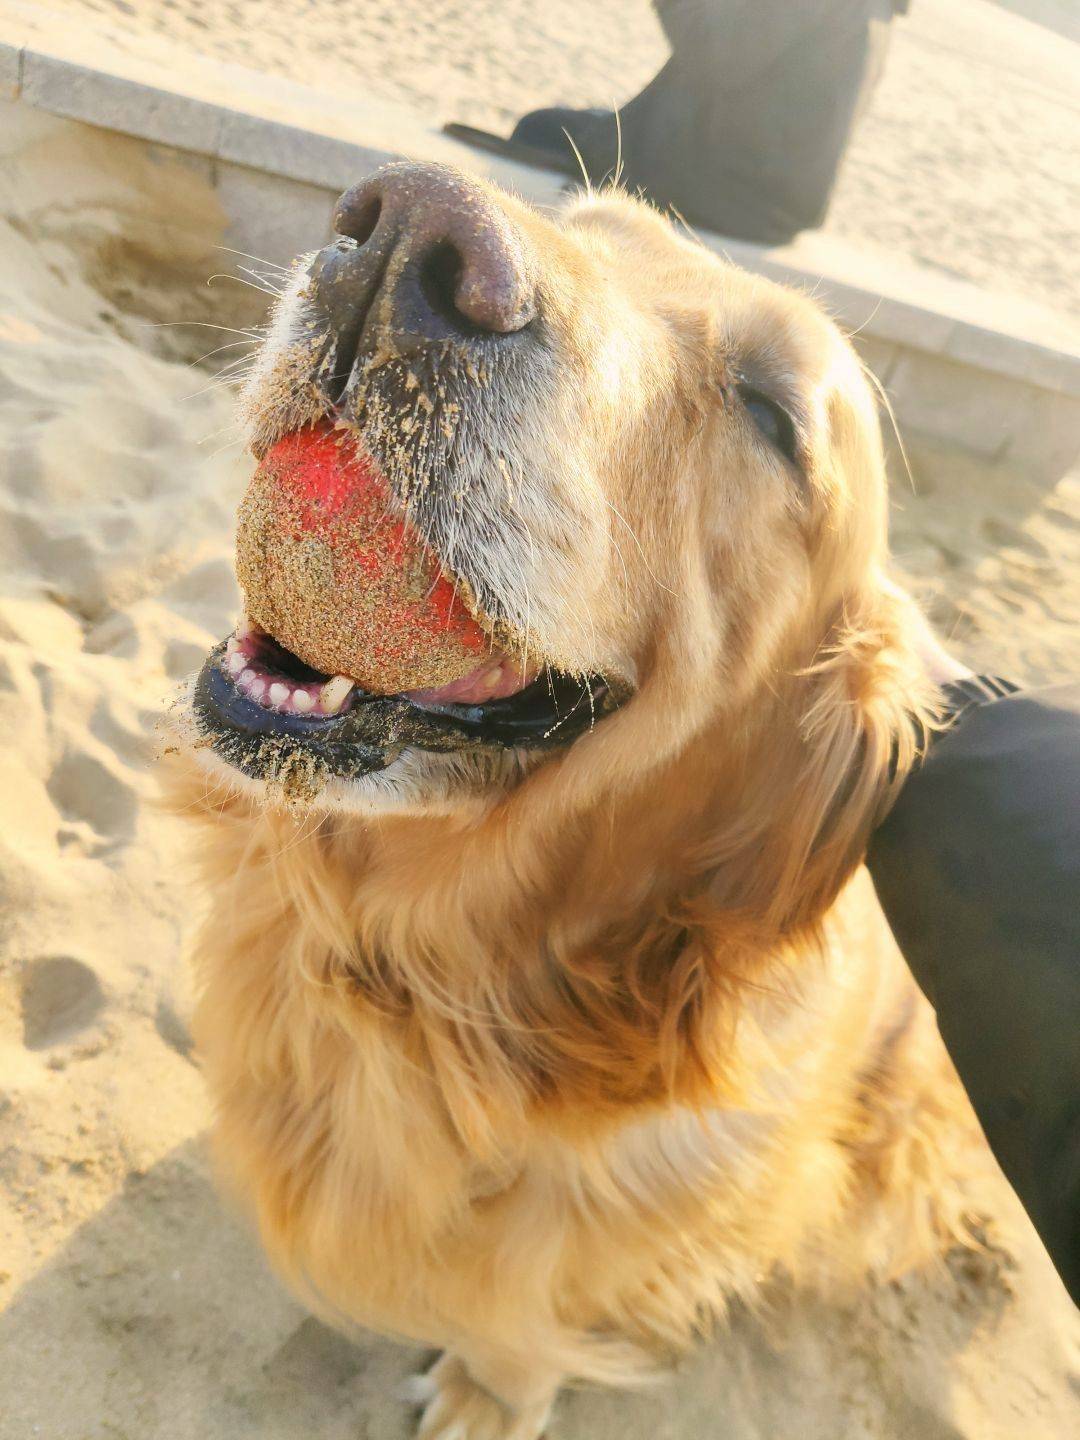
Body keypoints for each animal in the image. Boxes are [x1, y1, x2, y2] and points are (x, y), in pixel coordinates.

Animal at [169, 160, 979, 1440]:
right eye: (591, 231)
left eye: (772, 415)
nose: (405, 230)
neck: (429, 971)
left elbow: (530, 1311)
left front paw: (488, 1397)